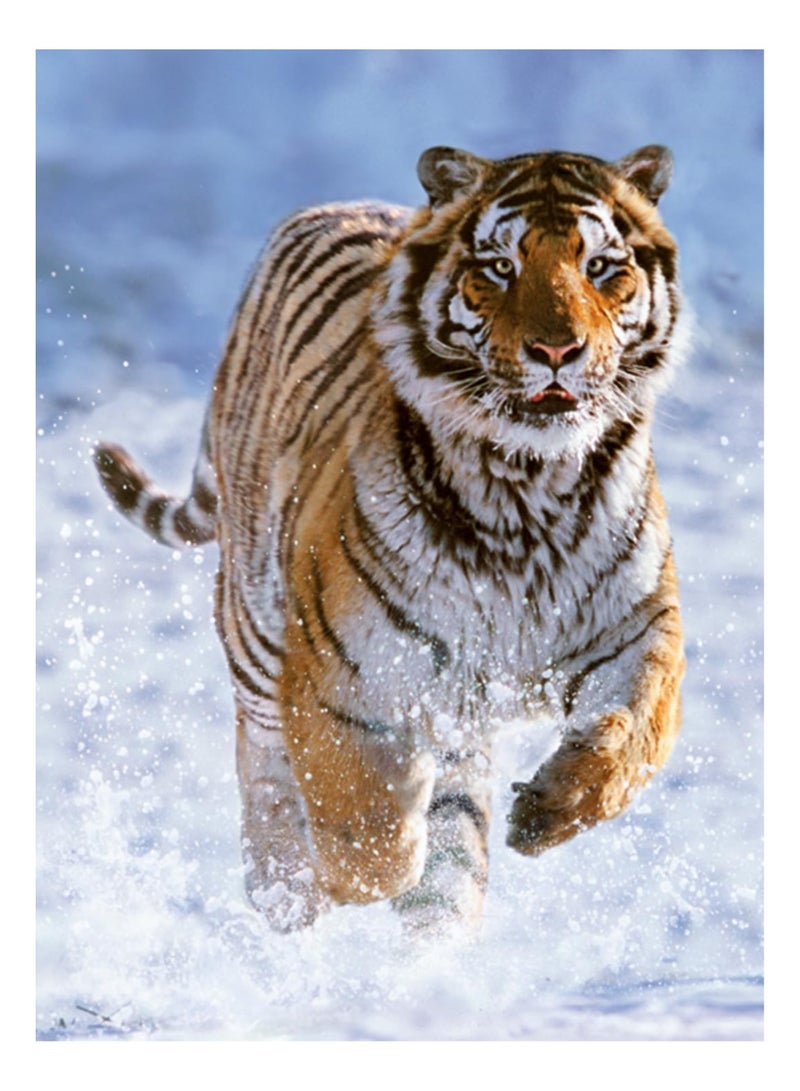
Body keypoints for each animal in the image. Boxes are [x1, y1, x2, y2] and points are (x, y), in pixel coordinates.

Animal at [94, 143, 687, 935]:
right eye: (500, 267)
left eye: (600, 267)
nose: (558, 349)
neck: (526, 488)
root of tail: (330, 206)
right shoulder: (338, 675)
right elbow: (367, 836)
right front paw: (342, 870)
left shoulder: (639, 628)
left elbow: (636, 733)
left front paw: (548, 811)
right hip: (255, 631)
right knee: (263, 767)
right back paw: (285, 894)